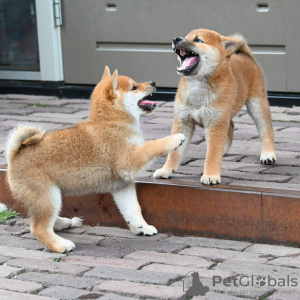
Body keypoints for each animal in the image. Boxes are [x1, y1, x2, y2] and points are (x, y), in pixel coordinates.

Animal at [5, 67, 185, 252]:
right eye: (134, 87)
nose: (154, 83)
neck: (112, 122)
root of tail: (15, 155)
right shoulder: (128, 160)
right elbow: (152, 145)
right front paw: (175, 138)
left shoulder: (122, 185)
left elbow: (133, 210)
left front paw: (141, 228)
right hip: (47, 195)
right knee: (38, 227)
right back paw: (60, 244)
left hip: (51, 196)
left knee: (44, 220)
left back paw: (63, 223)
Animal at [155, 29, 276, 185]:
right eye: (186, 36)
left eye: (198, 40)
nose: (176, 39)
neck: (197, 86)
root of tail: (245, 54)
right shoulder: (183, 121)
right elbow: (175, 152)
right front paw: (166, 170)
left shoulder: (216, 123)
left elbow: (212, 155)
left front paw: (211, 175)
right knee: (231, 125)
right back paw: (224, 149)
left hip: (256, 104)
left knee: (265, 129)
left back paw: (268, 154)